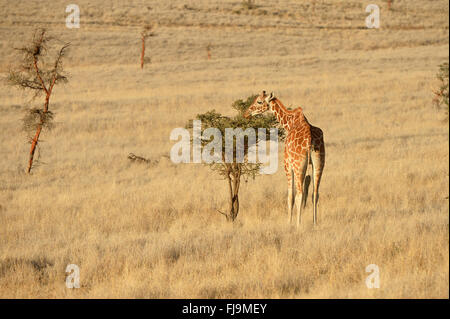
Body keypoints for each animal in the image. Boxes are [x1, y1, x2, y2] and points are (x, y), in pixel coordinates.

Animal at [244, 91, 326, 226]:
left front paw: (289, 223)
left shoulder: (287, 165)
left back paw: (298, 225)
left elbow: (290, 196)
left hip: (298, 165)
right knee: (315, 194)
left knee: (299, 194)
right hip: (319, 162)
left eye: (259, 101)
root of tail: (310, 140)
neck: (289, 123)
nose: (246, 113)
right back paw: (315, 223)